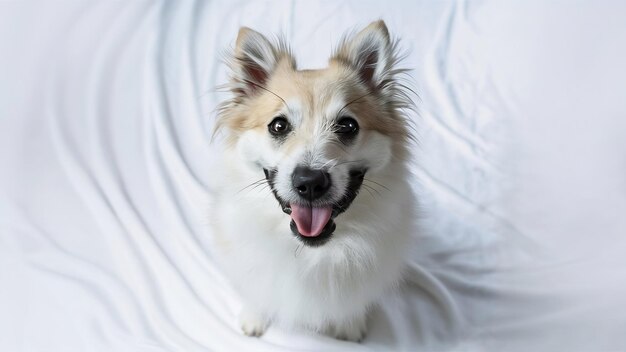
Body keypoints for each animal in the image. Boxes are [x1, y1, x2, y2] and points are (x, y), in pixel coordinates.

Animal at [210, 20, 414, 342]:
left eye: (348, 126)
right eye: (278, 126)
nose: (310, 182)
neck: (312, 252)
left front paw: (348, 326)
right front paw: (254, 318)